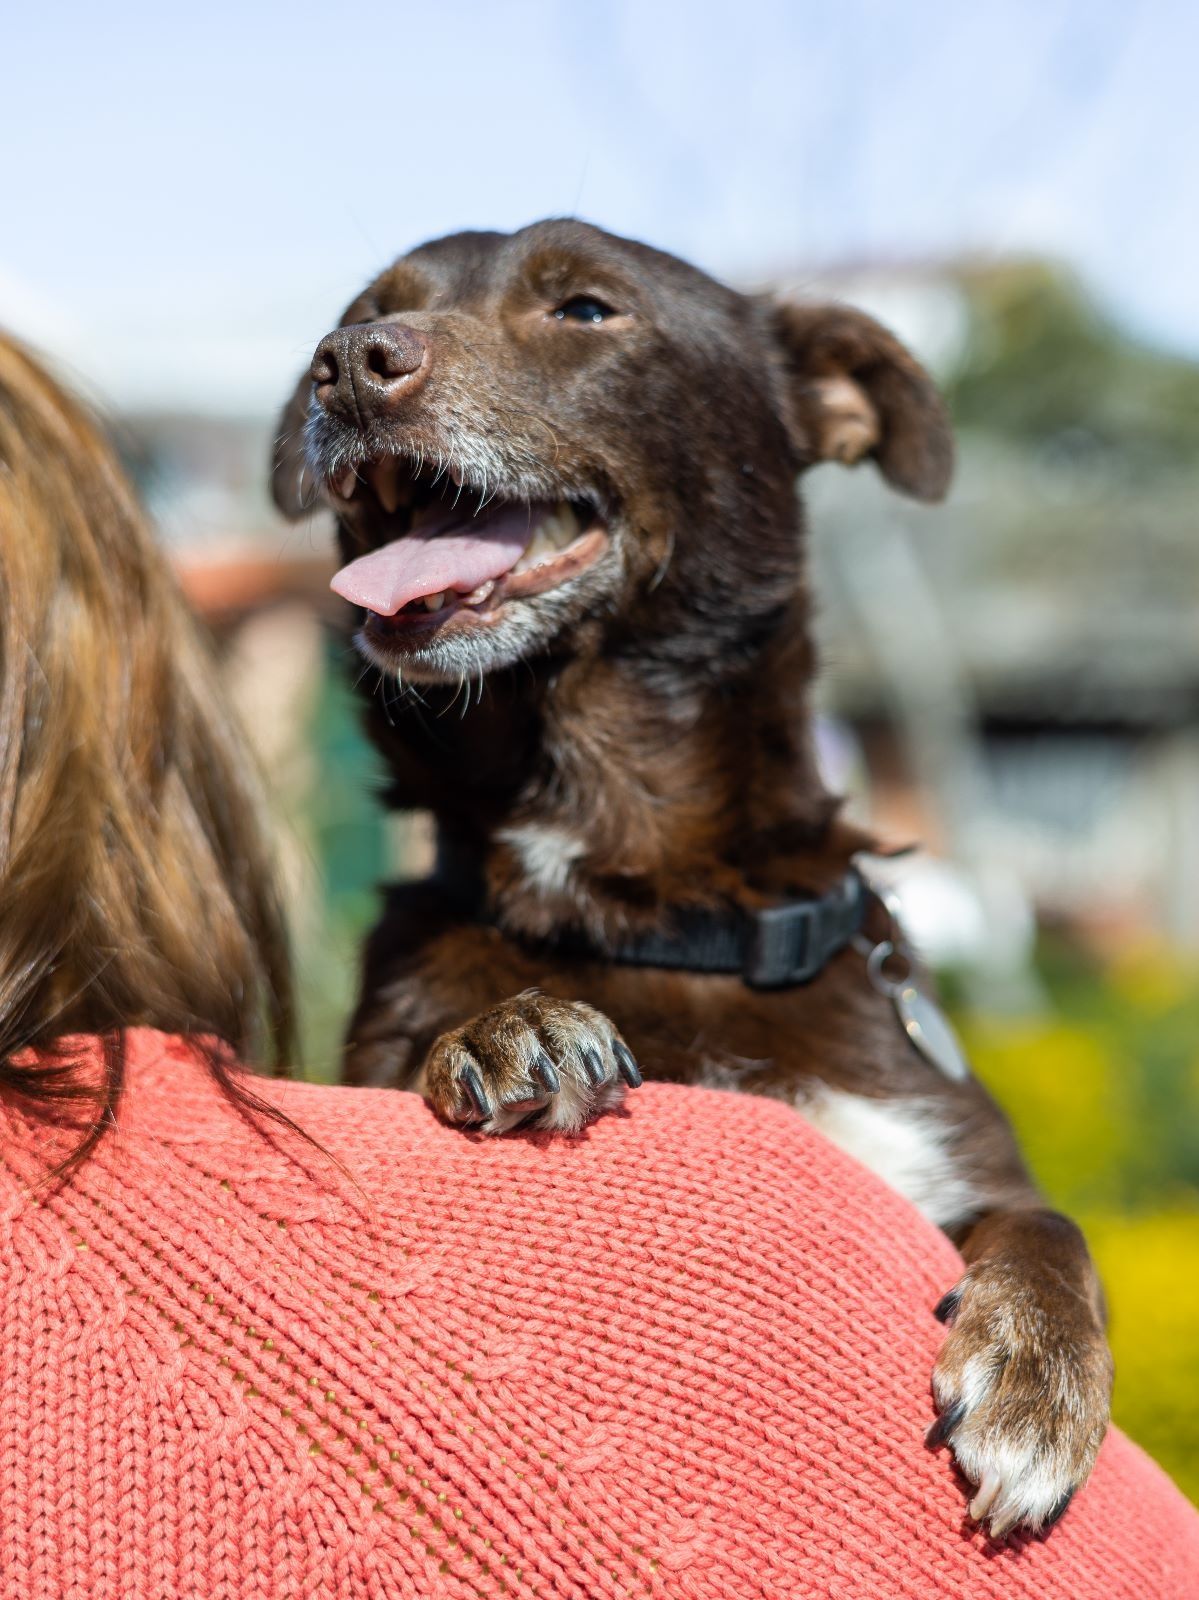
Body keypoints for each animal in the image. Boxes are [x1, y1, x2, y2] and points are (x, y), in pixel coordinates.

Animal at [270, 219, 1114, 1542]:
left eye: (584, 307)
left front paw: (1035, 1374)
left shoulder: (946, 1156)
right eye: (362, 312)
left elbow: (1049, 1219)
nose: (348, 363)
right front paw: (509, 1025)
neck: (649, 896)